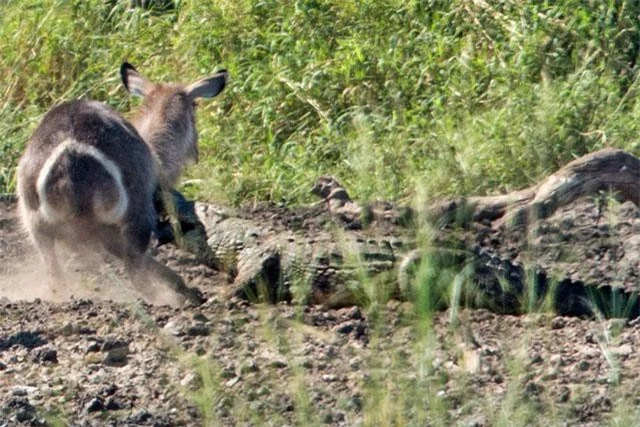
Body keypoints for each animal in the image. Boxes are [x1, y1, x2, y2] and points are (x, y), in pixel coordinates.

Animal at [14, 61, 230, 306]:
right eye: (194, 106)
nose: (196, 154)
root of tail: (70, 154)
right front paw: (184, 289)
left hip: (34, 222)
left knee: (55, 273)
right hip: (135, 214)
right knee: (134, 269)